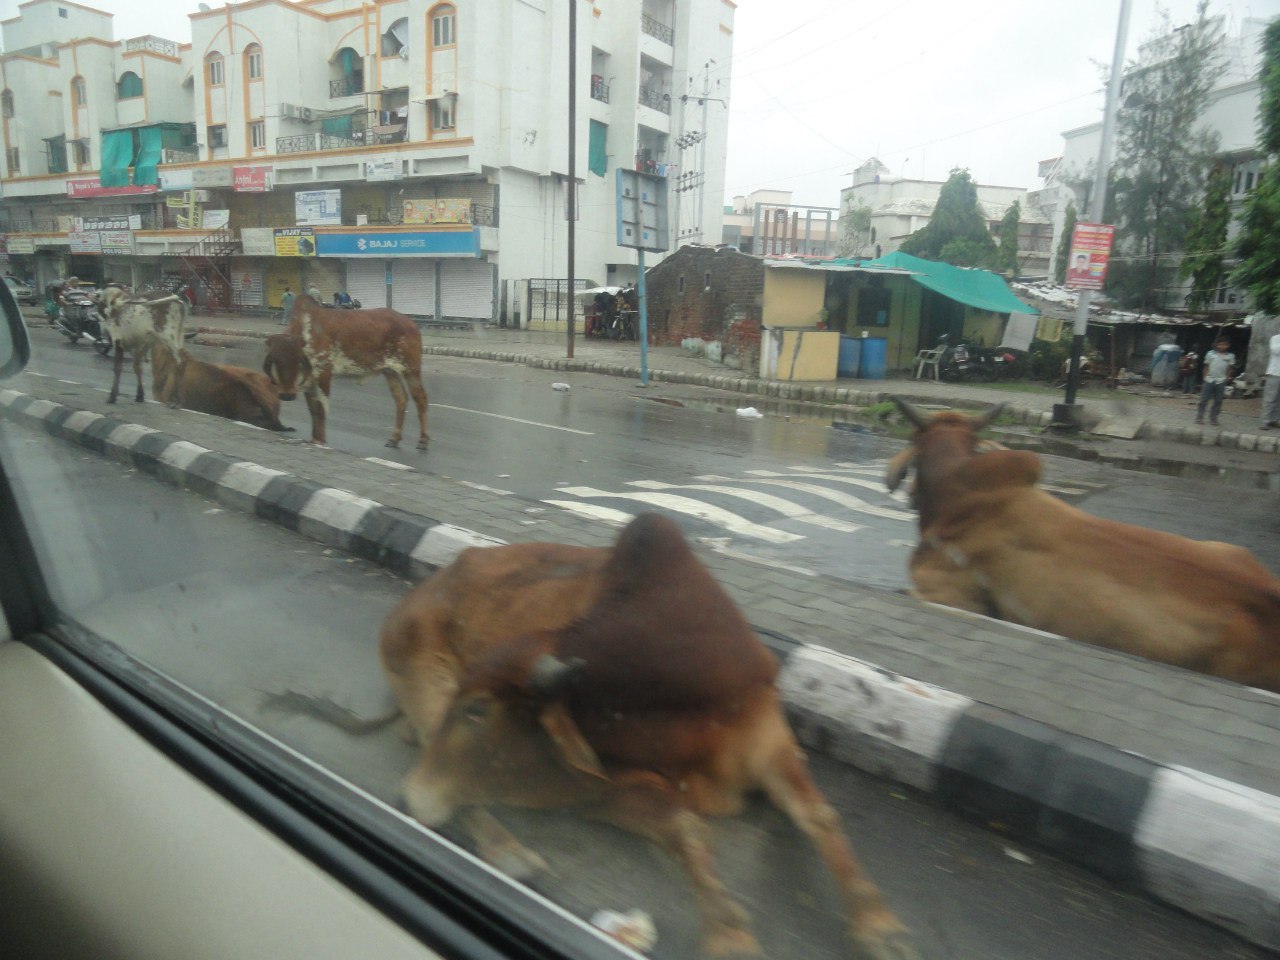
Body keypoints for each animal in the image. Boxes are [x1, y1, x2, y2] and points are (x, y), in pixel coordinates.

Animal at [261, 296, 430, 450]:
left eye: (297, 361)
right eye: (276, 361)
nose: (286, 395)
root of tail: (410, 323)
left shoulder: (324, 375)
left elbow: (320, 410)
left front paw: (320, 441)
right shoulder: (310, 383)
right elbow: (313, 411)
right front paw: (314, 438)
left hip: (411, 369)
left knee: (420, 398)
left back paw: (423, 441)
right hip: (390, 371)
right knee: (401, 399)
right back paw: (394, 439)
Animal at [373, 519, 916, 960]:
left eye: (479, 709)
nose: (406, 794)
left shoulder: (768, 736)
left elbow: (818, 815)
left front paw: (879, 926)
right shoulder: (591, 790)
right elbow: (685, 829)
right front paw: (730, 934)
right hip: (424, 676)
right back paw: (505, 849)